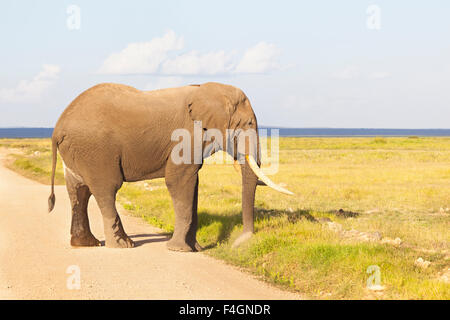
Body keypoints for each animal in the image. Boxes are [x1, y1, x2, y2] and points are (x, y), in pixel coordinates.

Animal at [46, 81, 292, 251]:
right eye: (248, 123)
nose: (240, 242)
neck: (210, 90)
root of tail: (58, 126)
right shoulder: (186, 136)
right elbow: (178, 182)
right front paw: (179, 250)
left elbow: (193, 186)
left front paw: (196, 249)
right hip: (96, 151)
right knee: (106, 189)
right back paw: (123, 245)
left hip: (78, 151)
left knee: (78, 191)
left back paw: (86, 244)